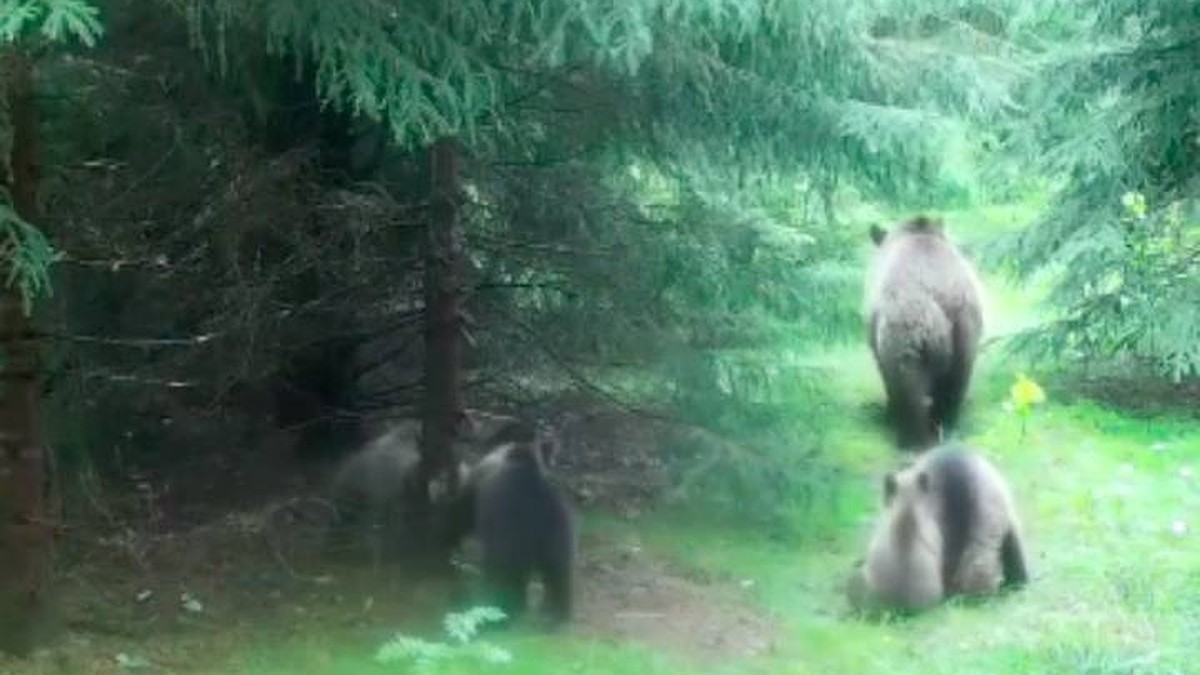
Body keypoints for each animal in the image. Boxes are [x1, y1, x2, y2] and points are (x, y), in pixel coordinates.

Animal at [868, 212, 988, 449]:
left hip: (906, 328)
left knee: (906, 382)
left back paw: (911, 435)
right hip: (965, 329)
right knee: (957, 382)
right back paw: (944, 424)